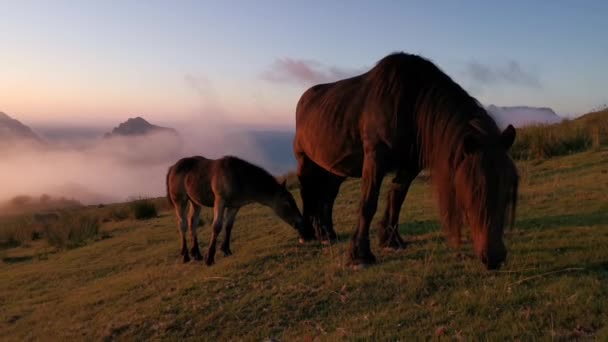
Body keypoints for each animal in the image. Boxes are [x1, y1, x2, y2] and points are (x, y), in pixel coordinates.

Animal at [165, 154, 314, 264]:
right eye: (288, 203)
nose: (303, 225)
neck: (238, 177)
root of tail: (173, 167)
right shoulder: (220, 201)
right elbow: (217, 226)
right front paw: (210, 257)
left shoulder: (234, 206)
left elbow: (228, 226)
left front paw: (226, 250)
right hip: (180, 201)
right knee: (182, 224)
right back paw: (185, 255)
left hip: (195, 202)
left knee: (193, 223)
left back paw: (196, 253)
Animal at [294, 51, 516, 270]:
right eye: (474, 187)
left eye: (508, 186)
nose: (495, 256)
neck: (410, 103)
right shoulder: (375, 157)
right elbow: (368, 203)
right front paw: (360, 255)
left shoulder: (410, 166)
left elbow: (397, 198)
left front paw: (391, 240)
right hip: (305, 160)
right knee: (307, 192)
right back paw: (309, 234)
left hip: (334, 169)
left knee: (327, 197)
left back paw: (327, 233)